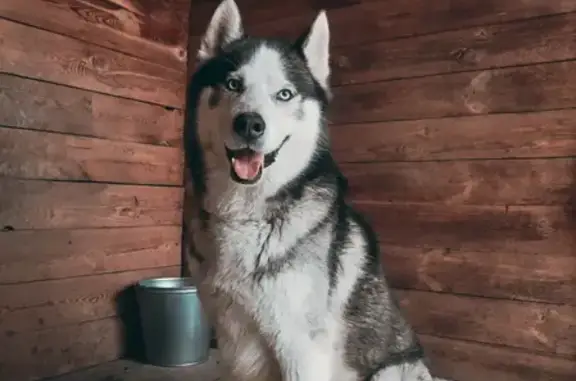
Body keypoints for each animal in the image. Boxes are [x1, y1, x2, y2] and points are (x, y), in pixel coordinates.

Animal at [183, 0, 446, 380]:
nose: (250, 124)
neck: (249, 216)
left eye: (285, 94)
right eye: (233, 84)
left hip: (392, 370)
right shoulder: (231, 344)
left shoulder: (300, 351)